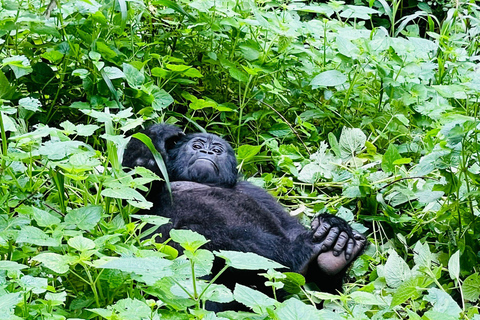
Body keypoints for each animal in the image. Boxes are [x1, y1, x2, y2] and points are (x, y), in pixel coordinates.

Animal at [122, 124, 366, 308]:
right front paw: (158, 133)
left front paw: (334, 225)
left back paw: (331, 258)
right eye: (197, 145)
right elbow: (134, 188)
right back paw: (301, 252)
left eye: (217, 150)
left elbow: (290, 227)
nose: (207, 153)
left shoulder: (256, 191)